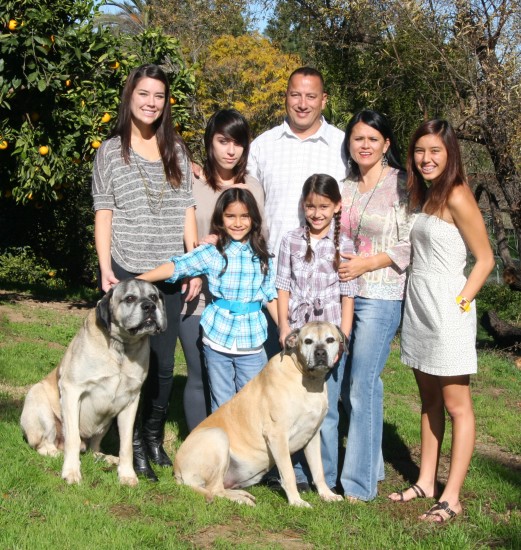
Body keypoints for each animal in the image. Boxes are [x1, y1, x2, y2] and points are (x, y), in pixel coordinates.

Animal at [19, 280, 166, 488]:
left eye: (153, 297)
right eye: (130, 298)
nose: (150, 307)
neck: (121, 347)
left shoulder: (131, 401)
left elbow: (127, 444)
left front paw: (127, 474)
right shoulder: (72, 390)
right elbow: (72, 438)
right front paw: (71, 472)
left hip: (105, 423)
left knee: (93, 448)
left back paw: (106, 458)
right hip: (38, 402)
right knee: (44, 444)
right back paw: (56, 453)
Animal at [175, 324, 344, 508]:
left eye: (330, 340)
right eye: (308, 341)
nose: (320, 353)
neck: (308, 380)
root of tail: (177, 470)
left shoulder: (312, 435)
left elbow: (318, 470)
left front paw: (326, 494)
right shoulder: (277, 435)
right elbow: (289, 473)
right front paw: (296, 501)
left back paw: (242, 494)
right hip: (217, 436)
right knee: (215, 490)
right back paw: (241, 499)